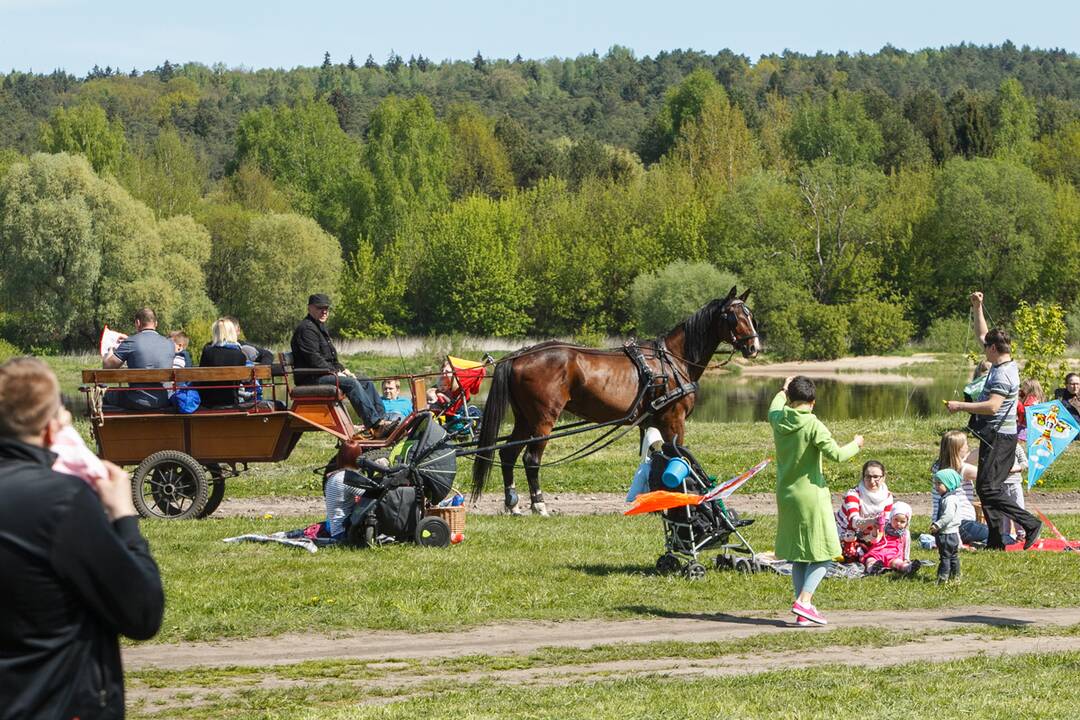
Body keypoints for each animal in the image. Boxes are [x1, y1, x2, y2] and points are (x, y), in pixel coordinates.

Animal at [470, 284, 760, 515]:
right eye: (733, 317)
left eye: (750, 315)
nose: (754, 347)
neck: (673, 360)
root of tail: (519, 355)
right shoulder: (673, 419)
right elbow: (678, 456)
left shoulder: (650, 421)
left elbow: (653, 458)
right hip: (543, 419)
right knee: (531, 459)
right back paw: (539, 504)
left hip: (524, 418)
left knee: (507, 454)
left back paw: (513, 504)